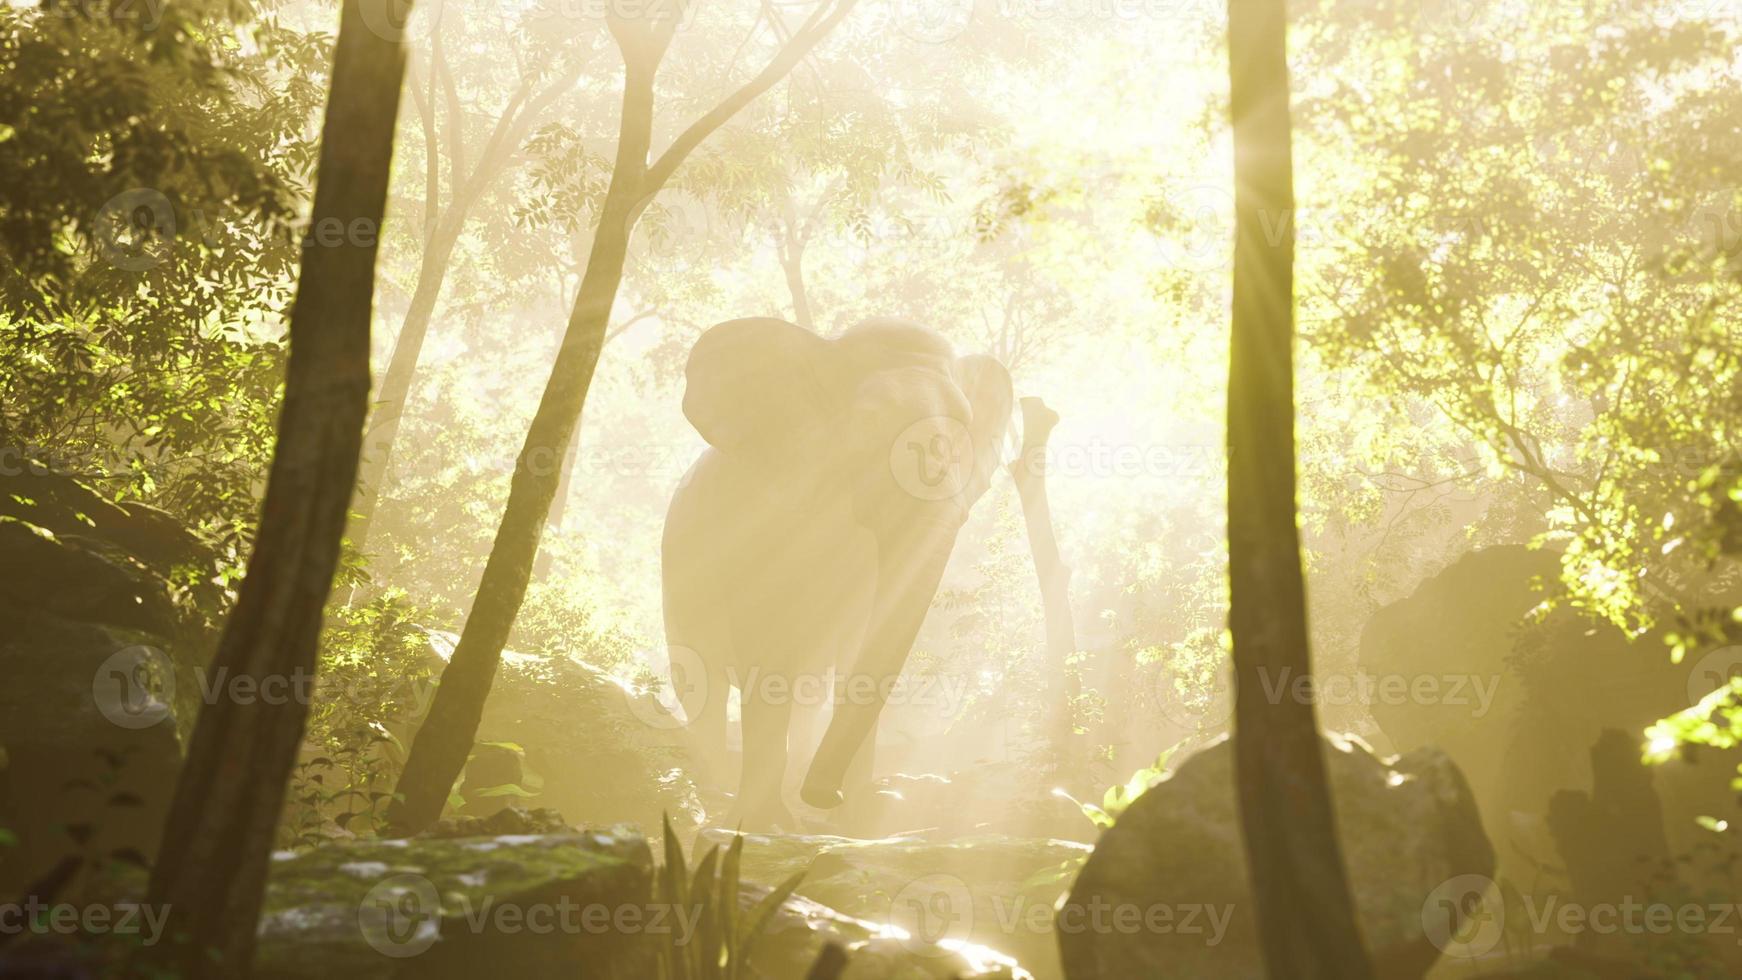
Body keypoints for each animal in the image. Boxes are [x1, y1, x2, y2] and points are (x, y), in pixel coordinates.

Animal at [665, 318, 1017, 832]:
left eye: (963, 429)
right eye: (868, 426)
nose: (824, 794)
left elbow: (864, 638)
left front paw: (851, 827)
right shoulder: (755, 511)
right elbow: (767, 641)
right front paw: (761, 825)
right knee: (699, 682)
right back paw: (713, 796)